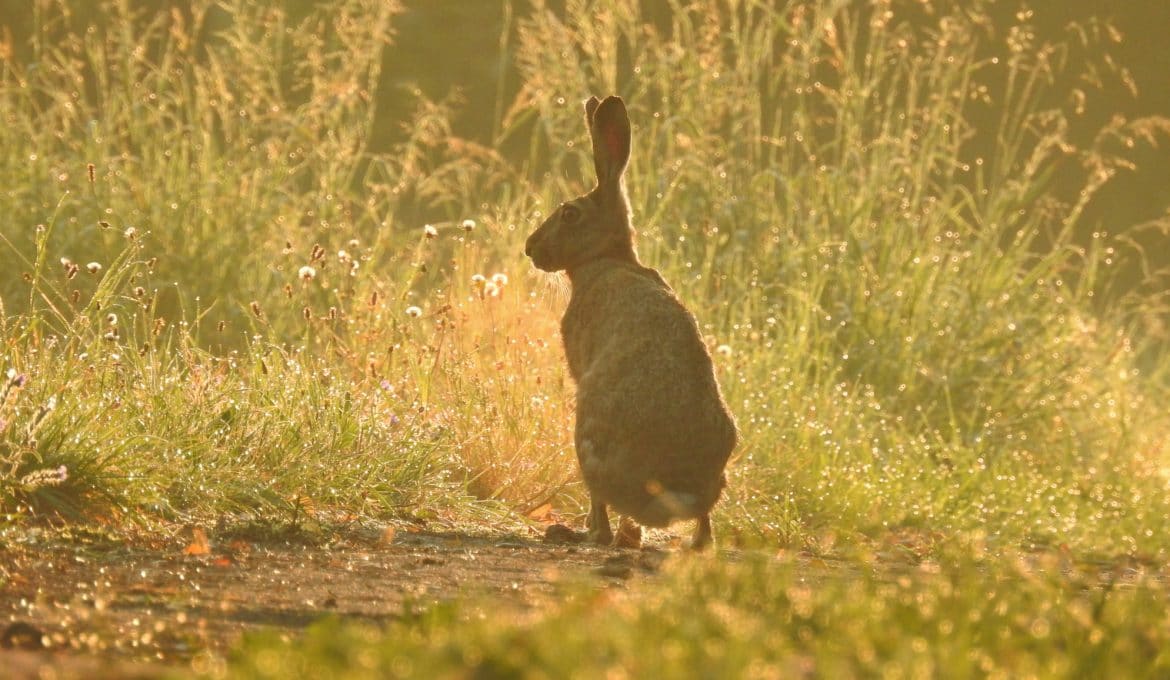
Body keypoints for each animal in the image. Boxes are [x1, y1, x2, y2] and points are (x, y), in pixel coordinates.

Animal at [524, 95, 738, 550]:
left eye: (569, 213)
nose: (530, 248)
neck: (607, 257)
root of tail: (672, 488)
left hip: (586, 436)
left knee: (602, 511)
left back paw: (580, 532)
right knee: (704, 527)